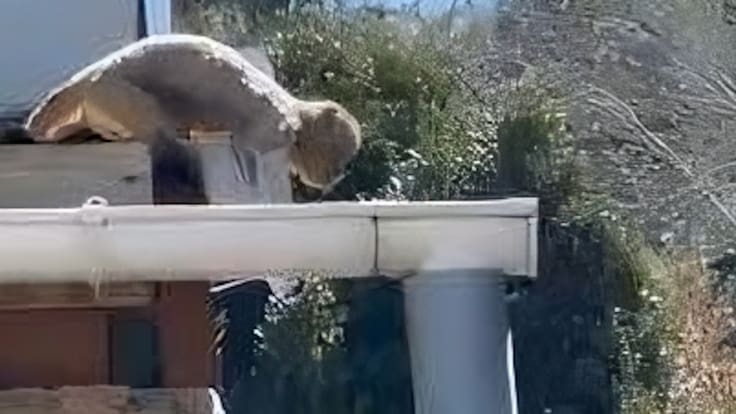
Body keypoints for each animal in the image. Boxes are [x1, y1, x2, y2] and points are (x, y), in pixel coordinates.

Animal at [24, 33, 362, 202]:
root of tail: (98, 71)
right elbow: (247, 151)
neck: (294, 113)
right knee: (157, 128)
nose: (338, 175)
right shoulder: (275, 128)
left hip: (101, 99)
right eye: (341, 160)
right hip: (114, 91)